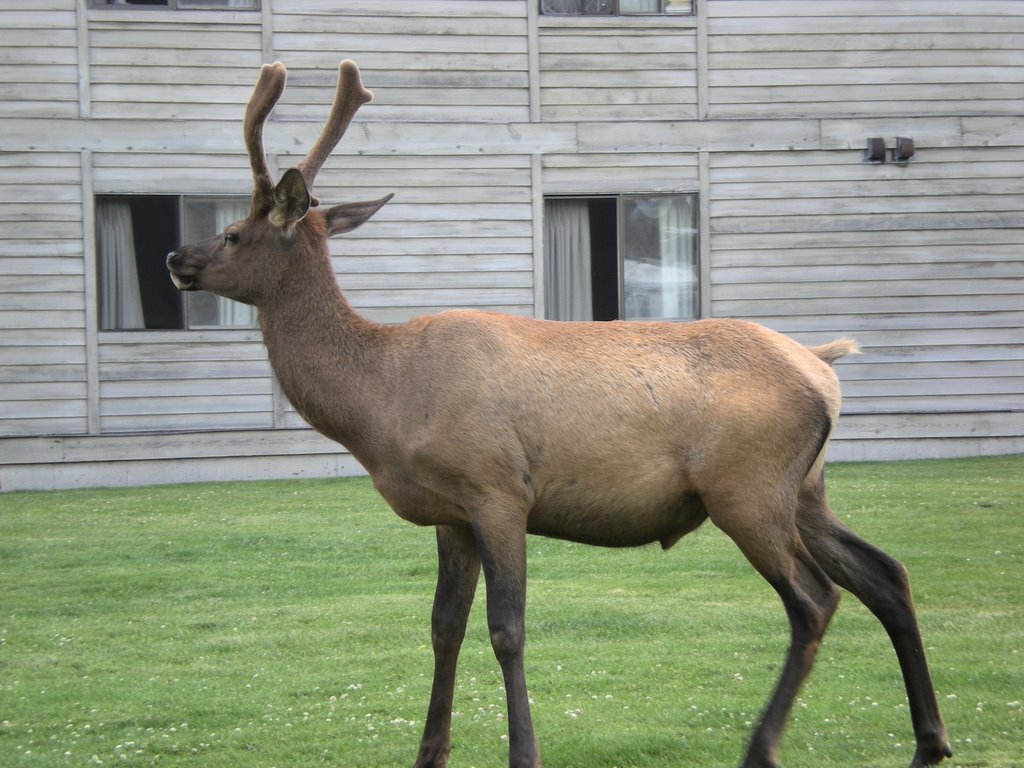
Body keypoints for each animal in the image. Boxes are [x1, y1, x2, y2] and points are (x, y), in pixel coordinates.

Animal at [165, 61, 950, 768]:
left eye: (233, 232)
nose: (176, 256)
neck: (384, 401)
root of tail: (823, 369)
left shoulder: (498, 488)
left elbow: (506, 630)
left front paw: (524, 753)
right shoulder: (451, 513)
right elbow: (443, 628)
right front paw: (429, 753)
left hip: (746, 488)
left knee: (815, 600)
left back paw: (763, 748)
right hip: (805, 489)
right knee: (886, 574)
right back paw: (929, 741)